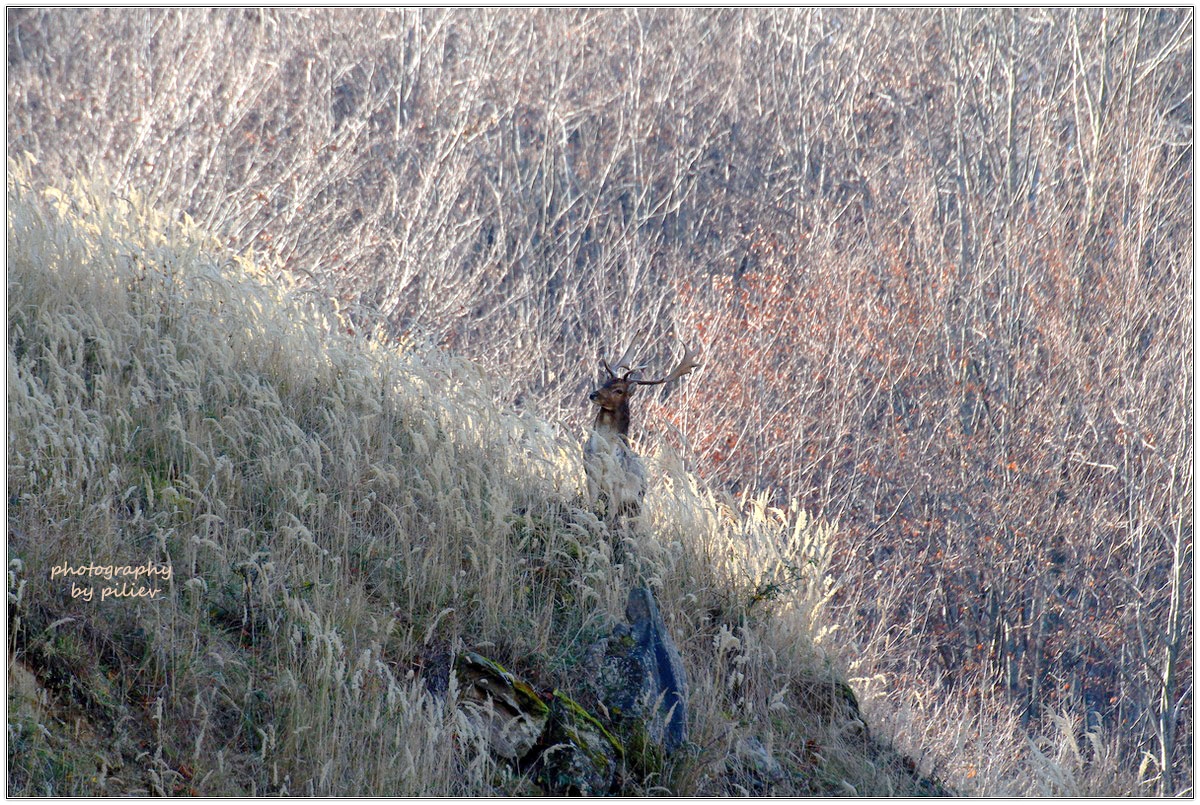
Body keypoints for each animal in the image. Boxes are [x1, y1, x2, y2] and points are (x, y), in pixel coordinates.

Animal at [583, 335, 700, 525]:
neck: (603, 450)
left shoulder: (617, 484)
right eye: (605, 382)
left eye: (619, 390)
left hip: (637, 502)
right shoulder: (590, 472)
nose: (593, 394)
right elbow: (592, 509)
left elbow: (608, 519)